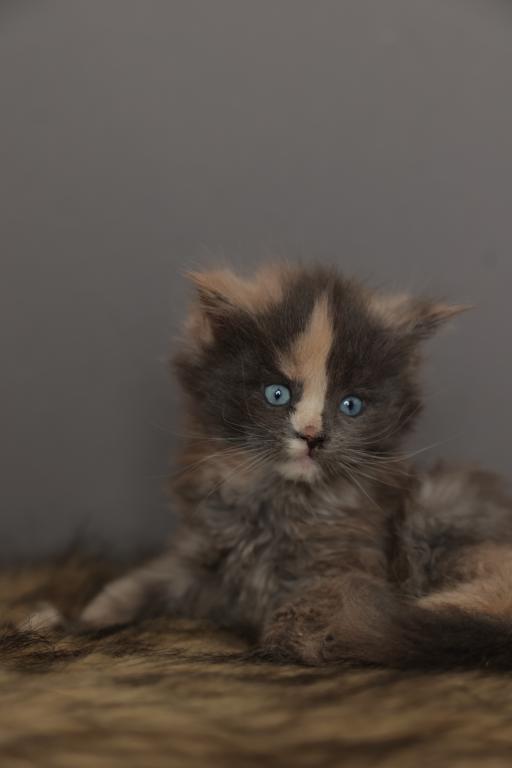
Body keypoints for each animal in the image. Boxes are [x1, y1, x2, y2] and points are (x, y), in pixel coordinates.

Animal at [77, 263, 512, 668]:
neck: (276, 503)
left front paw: (291, 644)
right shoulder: (204, 554)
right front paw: (91, 615)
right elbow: (148, 581)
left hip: (440, 506)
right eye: (277, 394)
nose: (312, 436)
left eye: (351, 404)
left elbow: (313, 605)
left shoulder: (344, 565)